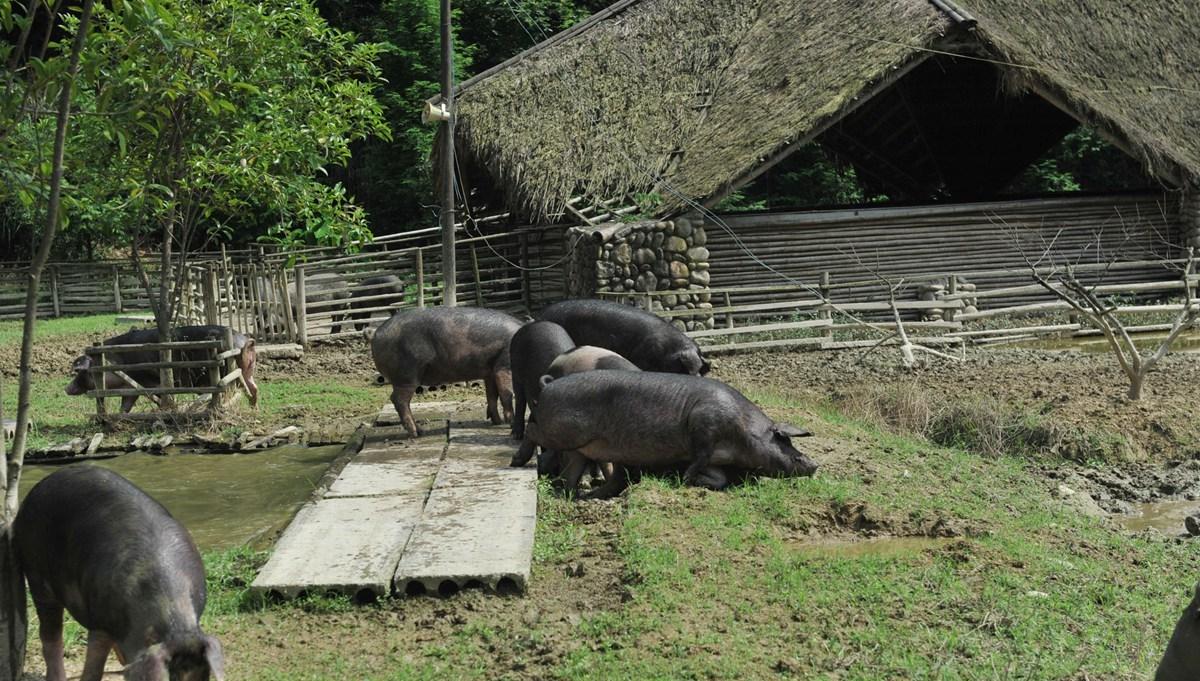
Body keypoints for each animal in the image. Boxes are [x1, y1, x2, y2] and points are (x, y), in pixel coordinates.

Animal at [14, 465, 225, 681]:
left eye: (203, 677)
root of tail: (37, 488)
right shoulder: (100, 622)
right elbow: (94, 667)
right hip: (36, 573)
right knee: (50, 636)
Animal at [65, 326, 258, 414]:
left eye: (81, 371)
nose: (66, 388)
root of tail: (245, 341)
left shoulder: (151, 382)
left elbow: (159, 398)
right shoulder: (131, 387)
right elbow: (125, 406)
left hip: (227, 372)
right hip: (248, 369)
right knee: (253, 388)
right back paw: (253, 407)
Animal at [369, 306, 520, 436]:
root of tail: (376, 333)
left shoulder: (490, 372)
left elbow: (492, 396)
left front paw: (497, 422)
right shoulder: (504, 366)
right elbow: (507, 393)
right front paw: (510, 424)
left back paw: (420, 431)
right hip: (406, 375)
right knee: (399, 400)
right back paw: (417, 433)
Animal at [525, 369, 816, 496]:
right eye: (788, 446)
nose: (815, 464)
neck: (742, 431)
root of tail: (548, 385)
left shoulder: (717, 457)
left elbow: (719, 477)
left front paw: (700, 481)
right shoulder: (704, 427)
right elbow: (698, 458)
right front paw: (685, 480)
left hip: (581, 447)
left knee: (573, 475)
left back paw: (575, 497)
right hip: (560, 431)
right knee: (532, 430)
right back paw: (520, 459)